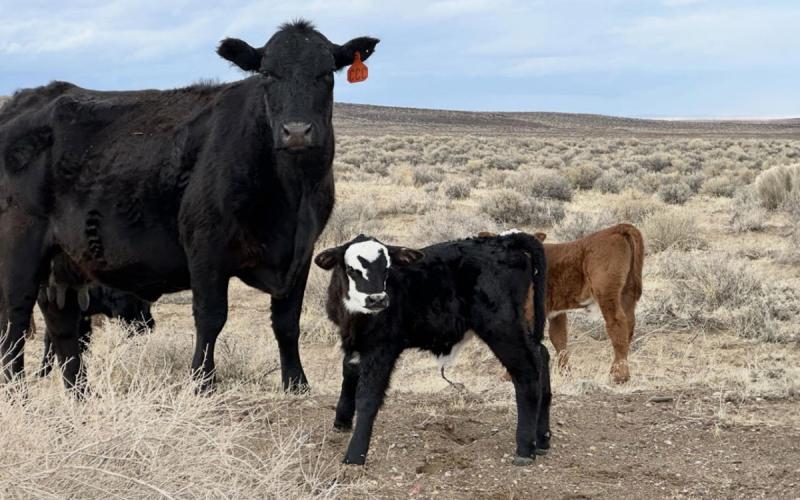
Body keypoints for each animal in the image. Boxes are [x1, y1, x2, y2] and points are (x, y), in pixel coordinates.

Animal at [0, 19, 379, 394]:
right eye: (268, 74)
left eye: (326, 73)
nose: (297, 131)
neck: (292, 195)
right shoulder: (206, 246)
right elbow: (211, 317)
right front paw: (202, 382)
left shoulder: (301, 252)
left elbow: (287, 321)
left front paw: (296, 383)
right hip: (20, 247)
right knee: (14, 318)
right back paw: (16, 389)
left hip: (62, 262)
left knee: (62, 325)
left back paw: (80, 394)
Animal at [314, 233, 550, 466]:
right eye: (351, 269)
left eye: (387, 269)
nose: (377, 299)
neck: (354, 318)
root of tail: (505, 240)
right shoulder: (353, 341)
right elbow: (349, 372)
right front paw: (341, 421)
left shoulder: (382, 348)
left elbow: (367, 396)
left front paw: (355, 454)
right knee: (541, 355)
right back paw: (542, 439)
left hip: (501, 326)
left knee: (528, 371)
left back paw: (525, 448)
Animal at [480, 224, 644, 384]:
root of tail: (617, 228)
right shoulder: (555, 311)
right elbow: (559, 338)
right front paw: (565, 373)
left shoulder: (529, 310)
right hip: (627, 292)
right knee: (629, 323)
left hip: (606, 291)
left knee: (617, 324)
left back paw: (618, 376)